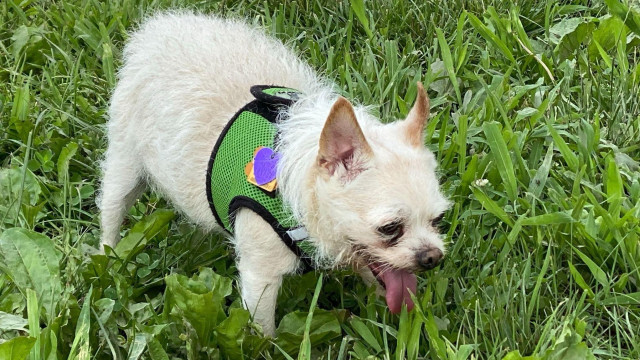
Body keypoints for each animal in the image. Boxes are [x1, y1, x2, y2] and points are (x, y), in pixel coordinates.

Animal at [100, 11, 450, 338]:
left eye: (438, 220)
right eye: (390, 228)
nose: (433, 257)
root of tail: (155, 31)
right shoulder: (260, 277)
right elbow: (263, 331)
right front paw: (267, 346)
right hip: (124, 163)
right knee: (112, 208)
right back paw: (110, 257)